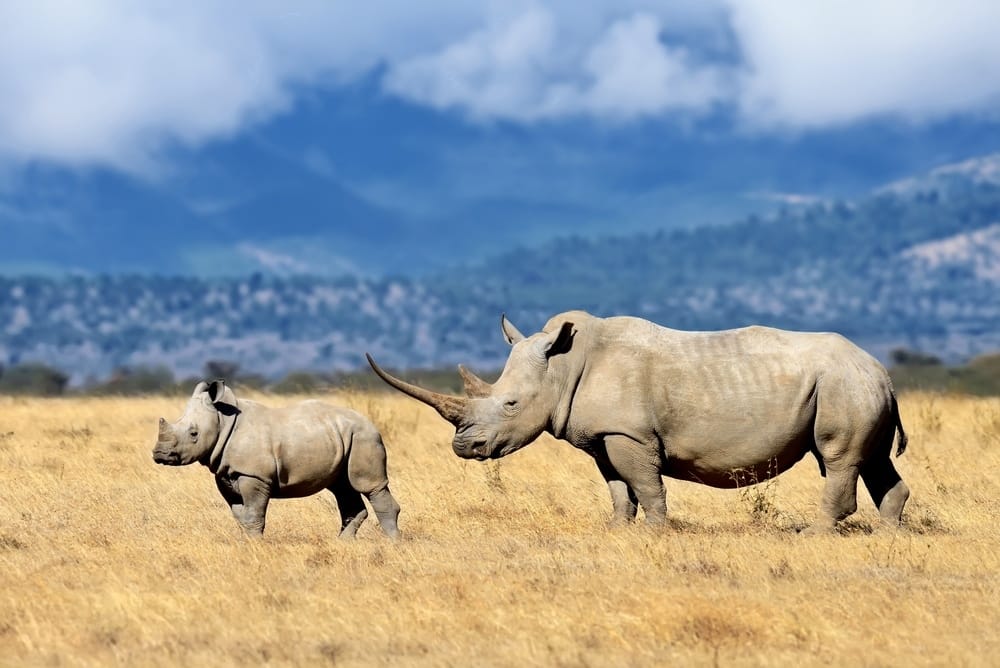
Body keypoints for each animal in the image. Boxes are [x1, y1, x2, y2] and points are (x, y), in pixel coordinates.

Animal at [153, 380, 401, 539]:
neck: (223, 420)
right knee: (342, 488)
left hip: (364, 437)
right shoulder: (225, 473)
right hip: (344, 438)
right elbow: (240, 515)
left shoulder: (254, 475)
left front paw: (255, 545)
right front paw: (246, 543)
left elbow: (253, 514)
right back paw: (343, 544)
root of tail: (371, 424)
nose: (159, 454)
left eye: (194, 433)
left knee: (370, 486)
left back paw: (392, 544)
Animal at [367, 310, 910, 533]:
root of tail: (880, 368)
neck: (561, 367)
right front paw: (616, 530)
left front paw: (656, 531)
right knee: (873, 461)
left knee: (838, 457)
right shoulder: (603, 436)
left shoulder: (629, 433)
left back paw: (814, 534)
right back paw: (889, 534)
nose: (464, 448)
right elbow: (617, 487)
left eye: (511, 405)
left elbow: (646, 484)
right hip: (856, 385)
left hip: (842, 384)